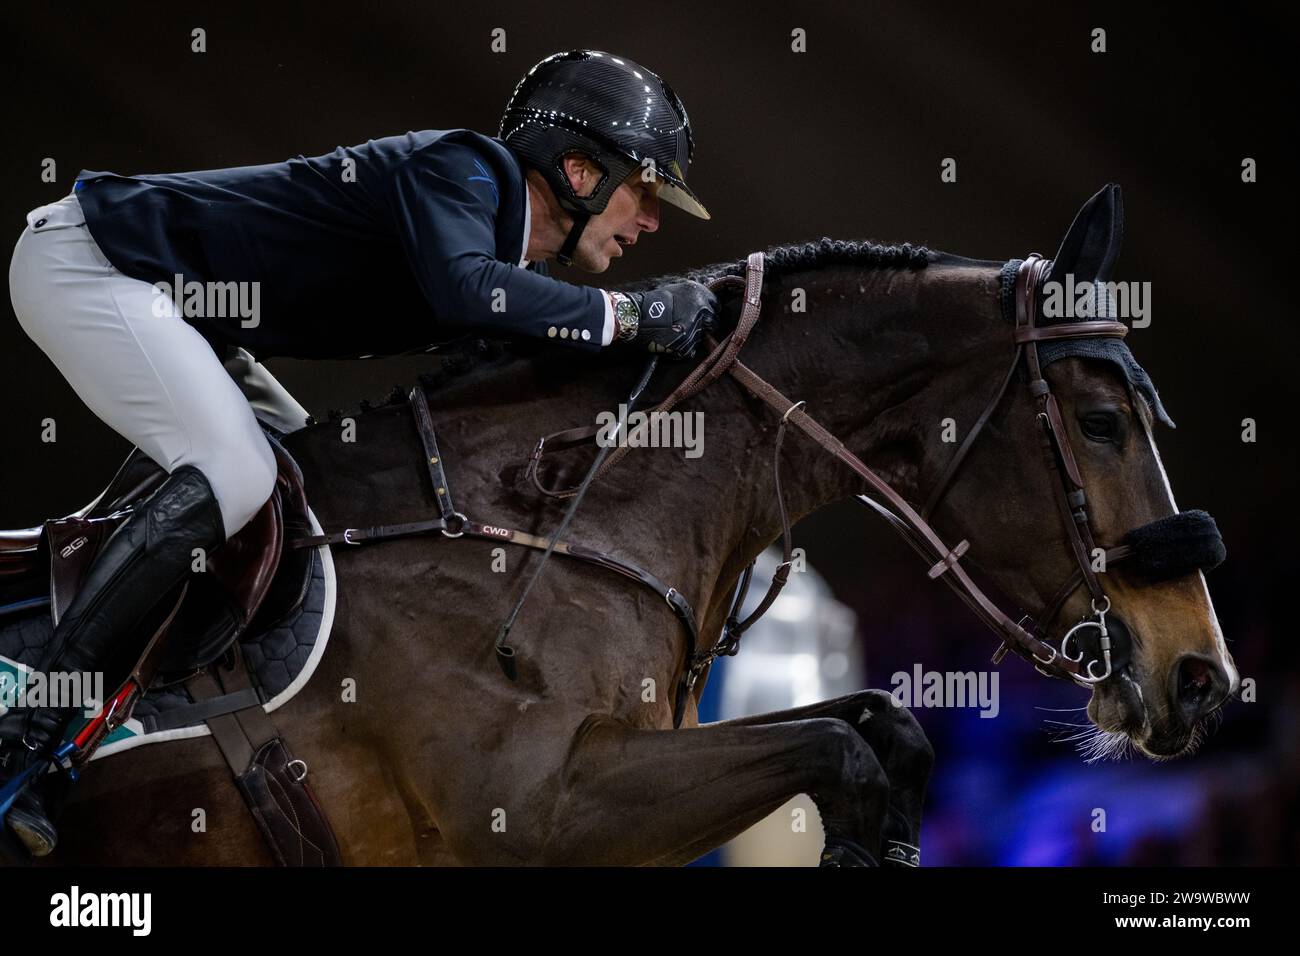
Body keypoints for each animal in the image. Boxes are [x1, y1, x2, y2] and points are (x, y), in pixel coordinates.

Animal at [30, 184, 1232, 868]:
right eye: (1101, 421)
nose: (1203, 679)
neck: (541, 513)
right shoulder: (542, 809)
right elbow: (837, 742)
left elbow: (881, 722)